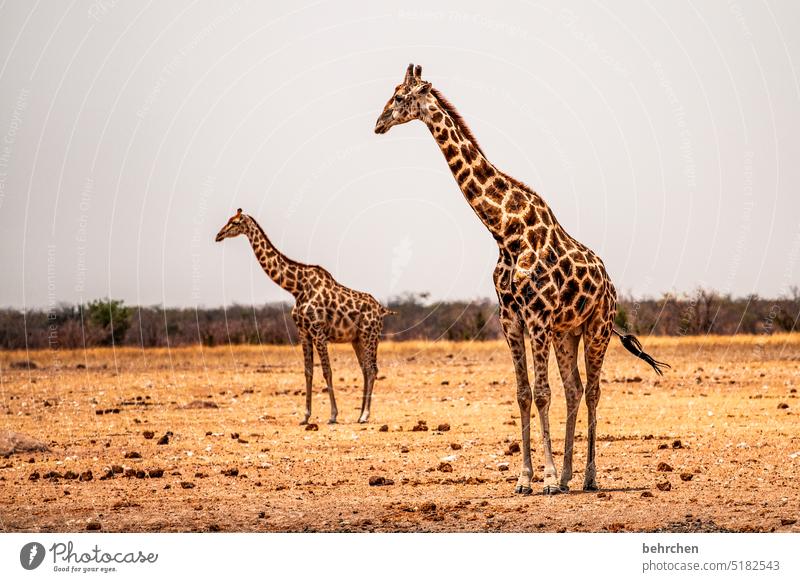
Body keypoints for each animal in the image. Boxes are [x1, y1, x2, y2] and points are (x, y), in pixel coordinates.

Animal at [216, 209, 394, 424]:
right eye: (228, 220)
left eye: (234, 223)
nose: (218, 235)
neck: (296, 288)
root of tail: (381, 309)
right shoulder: (303, 332)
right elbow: (308, 372)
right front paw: (306, 416)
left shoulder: (318, 331)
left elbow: (327, 371)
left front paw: (333, 415)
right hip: (357, 339)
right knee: (366, 370)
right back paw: (360, 414)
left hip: (371, 336)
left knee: (373, 369)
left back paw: (365, 415)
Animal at [376, 65, 668, 498]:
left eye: (398, 97)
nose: (377, 124)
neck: (504, 231)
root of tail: (610, 286)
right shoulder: (511, 319)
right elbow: (523, 394)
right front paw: (526, 478)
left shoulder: (537, 317)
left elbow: (543, 394)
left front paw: (544, 478)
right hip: (567, 332)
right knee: (574, 388)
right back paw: (567, 476)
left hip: (596, 327)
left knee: (593, 391)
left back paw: (588, 476)